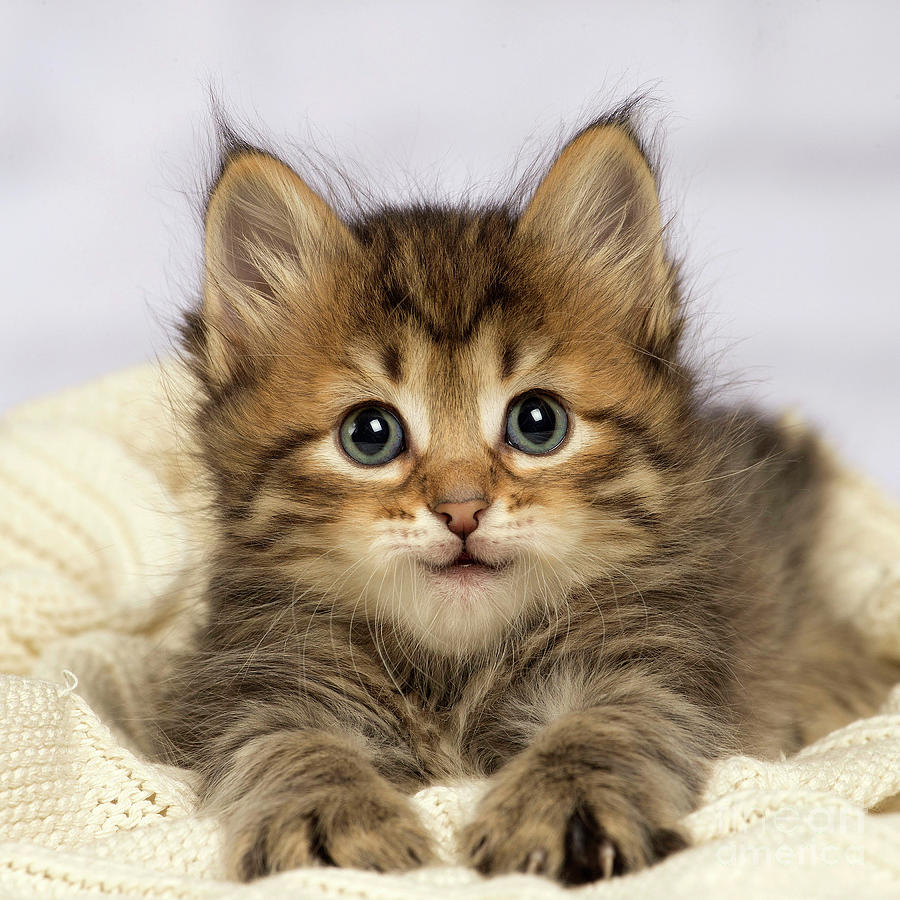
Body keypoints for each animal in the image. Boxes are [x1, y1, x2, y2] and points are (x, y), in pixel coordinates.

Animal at [156, 107, 900, 884]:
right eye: (369, 435)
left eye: (537, 423)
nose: (461, 510)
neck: (454, 672)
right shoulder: (250, 684)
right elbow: (294, 742)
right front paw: (330, 812)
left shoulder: (657, 662)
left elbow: (602, 727)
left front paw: (564, 804)